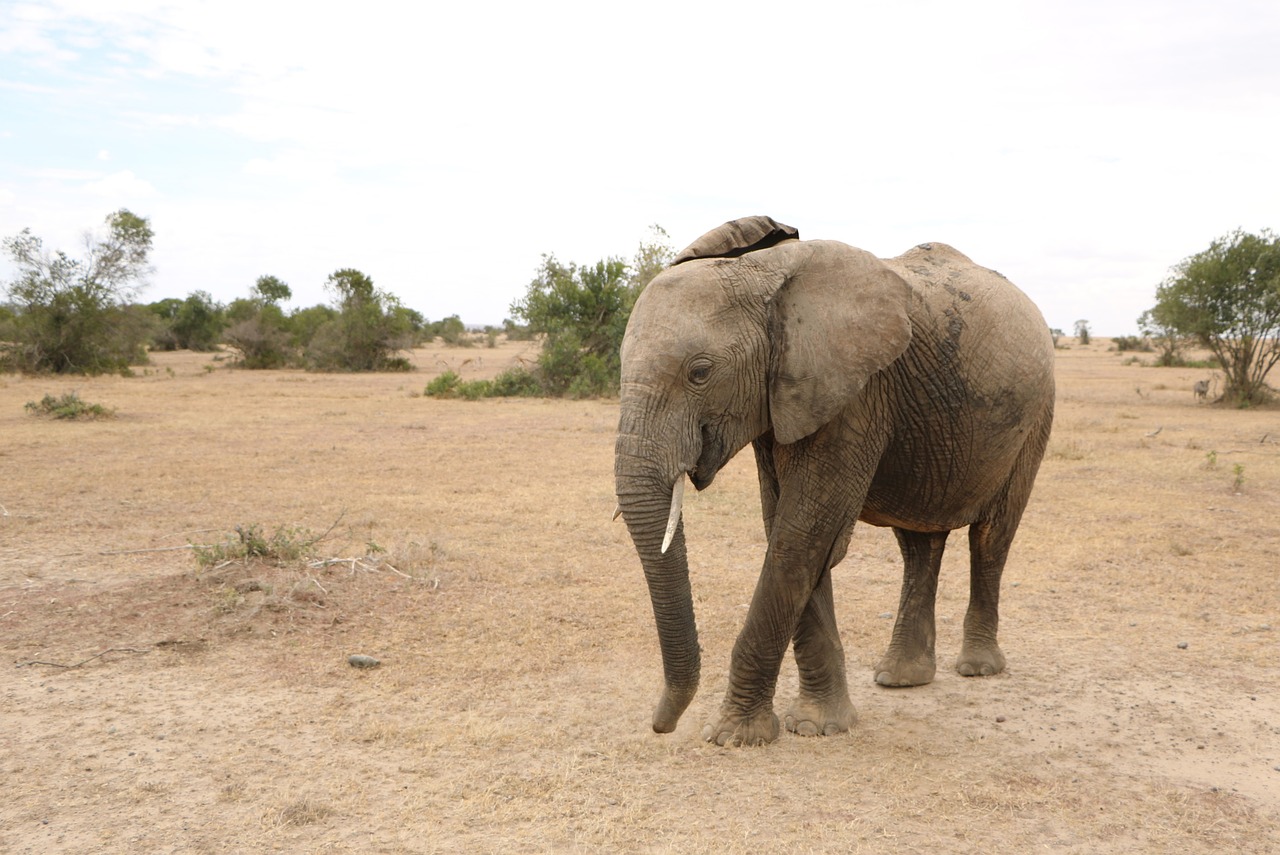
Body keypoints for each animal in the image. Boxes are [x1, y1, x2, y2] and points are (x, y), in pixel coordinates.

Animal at [614, 217, 1054, 742]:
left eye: (699, 373)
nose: (661, 725)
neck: (764, 274)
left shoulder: (857, 394)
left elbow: (802, 533)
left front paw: (735, 736)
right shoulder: (784, 396)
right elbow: (790, 531)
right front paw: (818, 725)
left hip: (1035, 415)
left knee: (992, 535)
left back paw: (977, 668)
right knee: (919, 545)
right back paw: (900, 679)